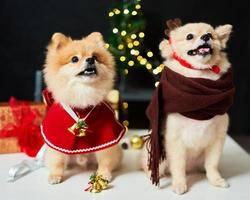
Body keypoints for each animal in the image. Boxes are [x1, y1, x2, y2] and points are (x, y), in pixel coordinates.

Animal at [42, 32, 127, 184]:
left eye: (95, 57)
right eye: (74, 59)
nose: (90, 60)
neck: (83, 93)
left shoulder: (106, 139)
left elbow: (105, 160)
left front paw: (103, 175)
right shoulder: (56, 138)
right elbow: (57, 160)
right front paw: (55, 175)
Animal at [142, 21, 235, 195]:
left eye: (210, 35)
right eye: (189, 36)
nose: (205, 37)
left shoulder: (217, 140)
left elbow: (212, 164)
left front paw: (216, 180)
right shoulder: (175, 141)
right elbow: (178, 166)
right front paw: (179, 184)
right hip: (160, 158)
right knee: (153, 168)